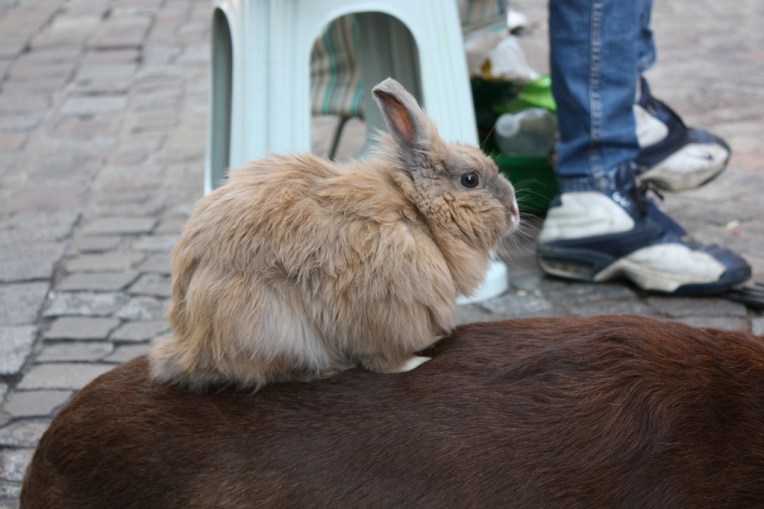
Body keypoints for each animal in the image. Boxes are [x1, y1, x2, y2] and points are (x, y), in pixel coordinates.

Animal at [148, 77, 519, 390]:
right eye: (470, 179)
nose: (515, 211)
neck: (417, 213)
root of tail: (188, 344)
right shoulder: (386, 314)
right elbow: (385, 361)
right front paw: (415, 363)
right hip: (272, 327)